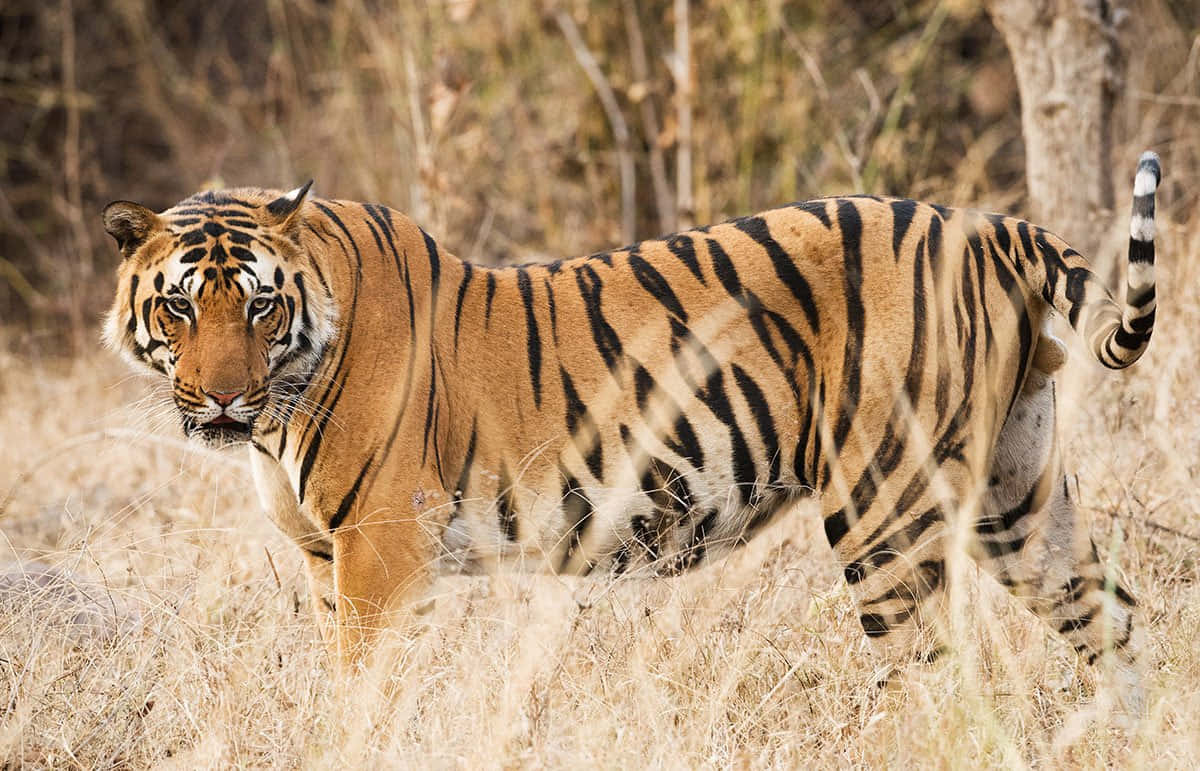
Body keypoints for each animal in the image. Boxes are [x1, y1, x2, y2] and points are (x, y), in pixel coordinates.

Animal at [101, 151, 1161, 687]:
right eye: (180, 308)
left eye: (259, 307)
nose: (223, 397)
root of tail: (985, 226)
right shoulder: (328, 557)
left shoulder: (381, 547)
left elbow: (359, 693)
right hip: (1018, 493)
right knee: (1111, 619)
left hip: (884, 509)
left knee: (934, 680)